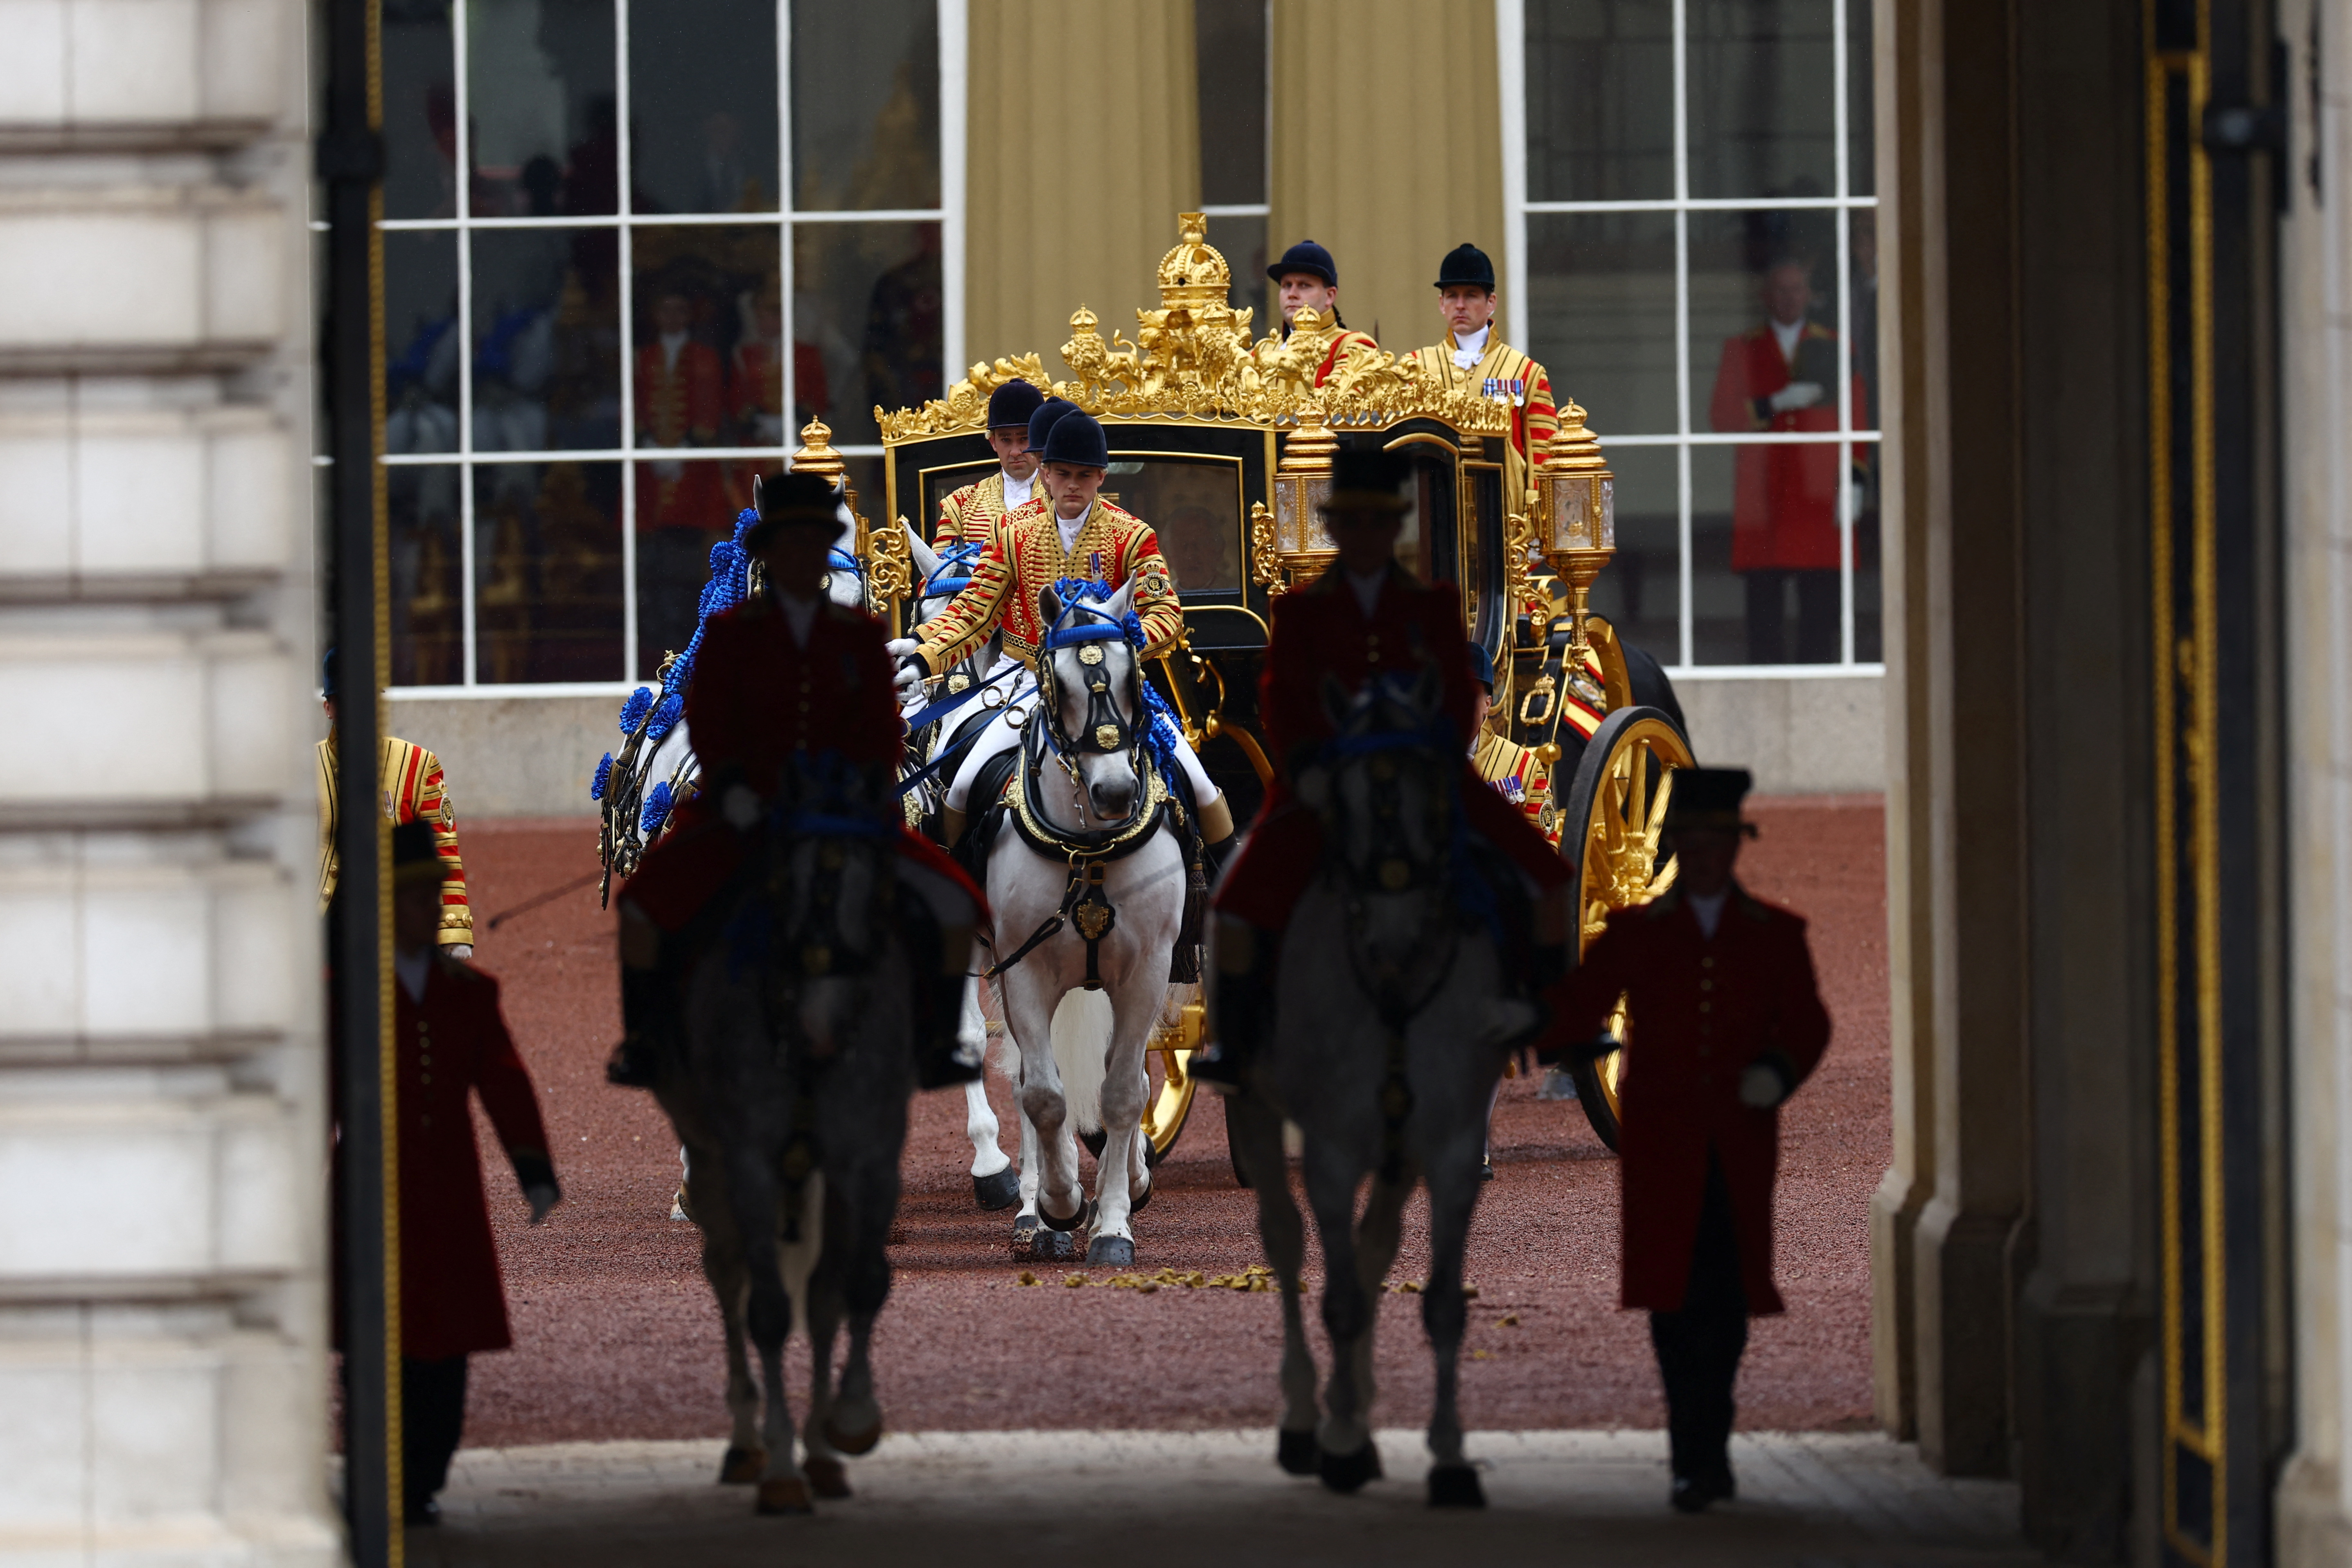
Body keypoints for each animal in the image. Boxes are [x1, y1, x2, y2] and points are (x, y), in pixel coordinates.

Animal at [978, 583, 1195, 1269]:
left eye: (1132, 678)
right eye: (1060, 683)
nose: (1116, 794)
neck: (1088, 850)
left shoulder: (1147, 971)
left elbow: (1123, 1091)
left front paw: (1113, 1225)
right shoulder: (1022, 969)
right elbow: (1043, 1095)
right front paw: (1058, 1202)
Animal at [1223, 663, 1552, 1504]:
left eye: (1434, 782)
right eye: (1340, 797)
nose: (1393, 920)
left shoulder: (1447, 1142)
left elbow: (1435, 1298)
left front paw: (1447, 1455)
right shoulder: (1333, 1147)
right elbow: (1334, 1288)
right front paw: (1338, 1439)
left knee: (1374, 1249)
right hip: (1258, 1106)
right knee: (1287, 1242)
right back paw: (1307, 1417)